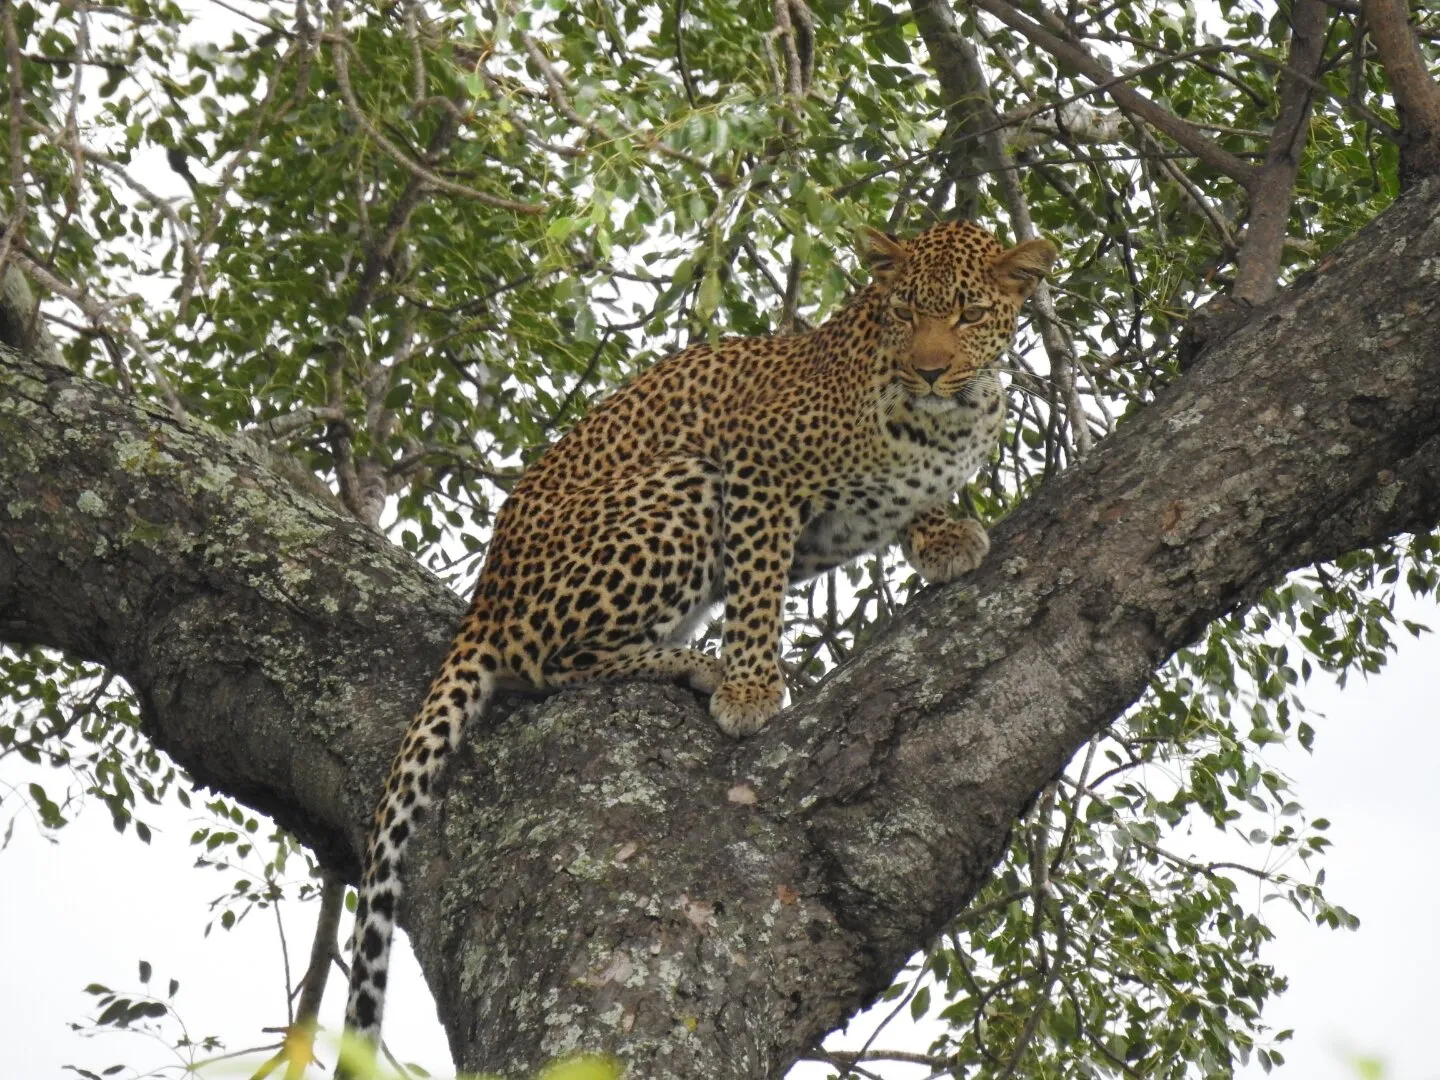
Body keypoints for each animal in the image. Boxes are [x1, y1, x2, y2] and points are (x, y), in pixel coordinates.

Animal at [340, 219, 1058, 1068]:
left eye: (971, 313)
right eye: (907, 311)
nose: (931, 367)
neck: (945, 415)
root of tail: (486, 591)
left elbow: (911, 502)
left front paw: (942, 532)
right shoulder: (754, 469)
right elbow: (757, 587)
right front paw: (751, 686)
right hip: (679, 485)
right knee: (543, 660)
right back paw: (698, 664)